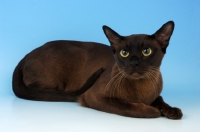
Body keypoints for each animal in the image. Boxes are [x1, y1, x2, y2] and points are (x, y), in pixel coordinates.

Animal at [12, 20, 183, 119]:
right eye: (124, 53)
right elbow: (128, 107)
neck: (143, 88)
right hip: (59, 81)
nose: (133, 63)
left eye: (146, 51)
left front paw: (172, 111)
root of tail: (26, 55)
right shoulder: (95, 97)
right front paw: (154, 111)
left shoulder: (155, 94)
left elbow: (160, 100)